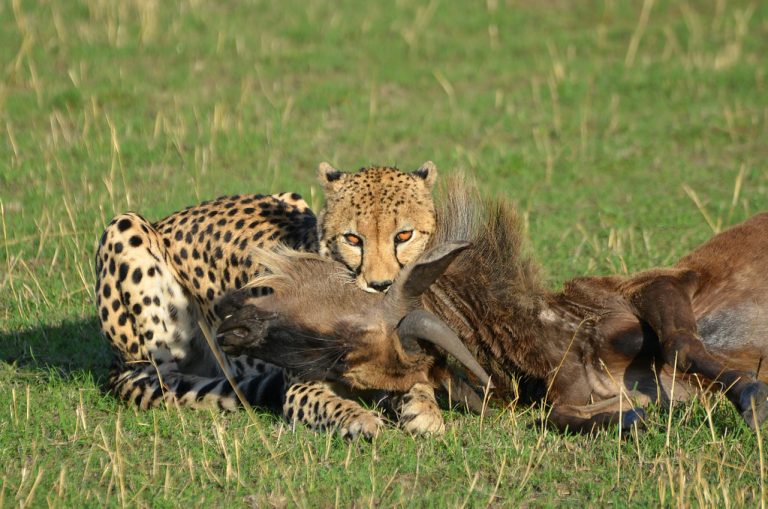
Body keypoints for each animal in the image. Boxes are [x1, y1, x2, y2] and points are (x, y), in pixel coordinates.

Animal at [218, 180, 768, 432]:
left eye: (346, 338)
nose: (230, 322)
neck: (563, 341)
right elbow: (559, 416)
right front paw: (642, 415)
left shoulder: (665, 281)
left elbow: (679, 345)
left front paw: (753, 397)